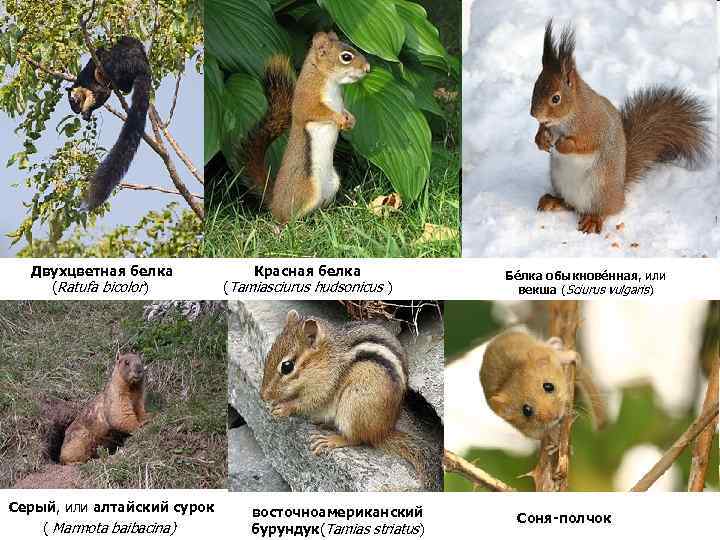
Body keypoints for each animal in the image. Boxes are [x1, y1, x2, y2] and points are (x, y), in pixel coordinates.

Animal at [67, 36, 152, 212]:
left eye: (73, 102)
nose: (76, 111)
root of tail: (143, 66)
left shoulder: (88, 80)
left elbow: (100, 92)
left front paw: (87, 109)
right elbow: (102, 96)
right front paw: (87, 113)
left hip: (117, 61)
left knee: (107, 64)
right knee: (124, 86)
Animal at [242, 31, 370, 223]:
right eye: (346, 57)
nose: (368, 68)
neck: (327, 79)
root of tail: (275, 203)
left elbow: (344, 110)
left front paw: (351, 120)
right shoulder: (307, 99)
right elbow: (316, 111)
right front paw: (339, 118)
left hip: (333, 184)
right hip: (306, 189)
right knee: (287, 218)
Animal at [260, 310, 438, 490]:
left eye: (287, 366)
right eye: (268, 355)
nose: (263, 395)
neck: (326, 357)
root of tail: (383, 431)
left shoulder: (325, 385)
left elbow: (310, 401)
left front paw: (284, 407)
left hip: (353, 405)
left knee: (356, 439)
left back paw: (332, 440)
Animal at [531, 20, 710, 234]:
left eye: (556, 98)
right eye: (535, 86)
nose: (533, 114)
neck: (567, 117)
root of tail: (619, 193)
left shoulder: (594, 125)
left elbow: (585, 143)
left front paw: (561, 145)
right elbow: (543, 130)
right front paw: (540, 139)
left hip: (600, 188)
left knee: (605, 210)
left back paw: (593, 219)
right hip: (559, 181)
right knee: (569, 205)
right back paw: (553, 201)